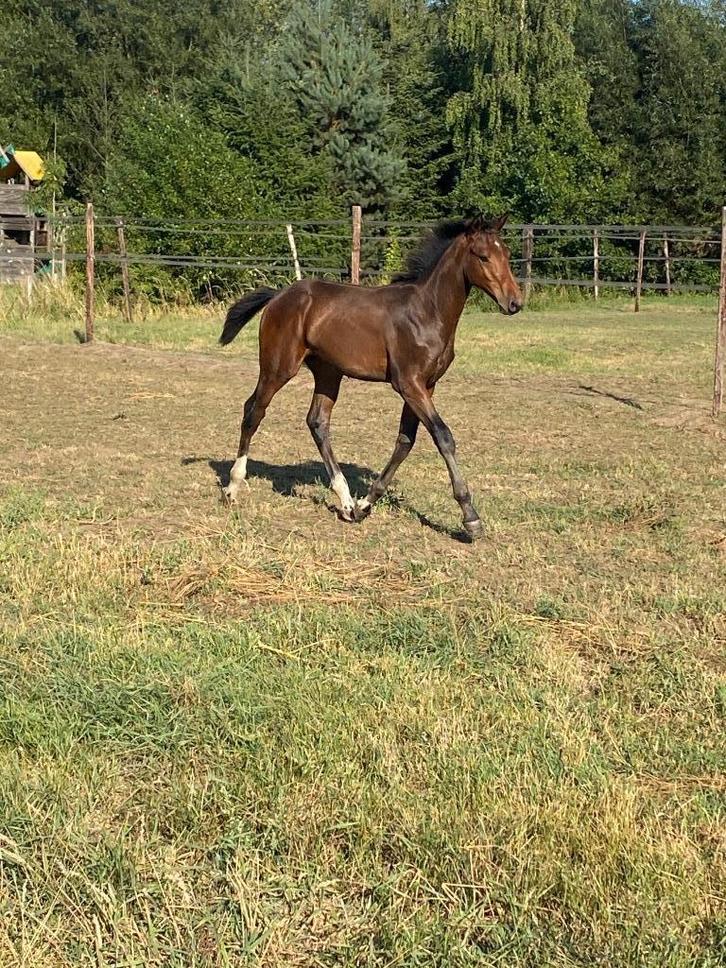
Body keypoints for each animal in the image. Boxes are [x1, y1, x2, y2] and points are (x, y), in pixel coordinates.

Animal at [219, 213, 523, 539]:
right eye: (483, 256)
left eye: (506, 254)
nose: (514, 303)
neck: (427, 311)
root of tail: (279, 295)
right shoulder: (409, 384)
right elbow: (443, 436)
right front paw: (471, 517)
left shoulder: (426, 385)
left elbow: (405, 440)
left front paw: (366, 504)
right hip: (278, 367)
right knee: (254, 410)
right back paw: (233, 487)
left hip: (328, 373)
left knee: (317, 422)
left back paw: (346, 503)